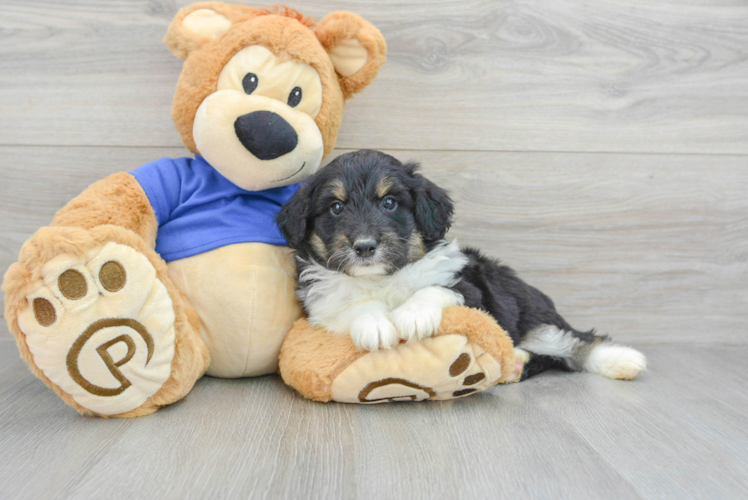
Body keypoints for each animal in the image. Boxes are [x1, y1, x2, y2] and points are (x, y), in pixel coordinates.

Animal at [278, 150, 644, 380]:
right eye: (337, 207)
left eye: (390, 203)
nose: (365, 246)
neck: (382, 278)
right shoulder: (321, 306)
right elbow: (354, 306)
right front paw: (375, 324)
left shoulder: (468, 289)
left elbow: (432, 289)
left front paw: (412, 317)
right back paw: (516, 364)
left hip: (536, 316)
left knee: (577, 342)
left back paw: (624, 361)